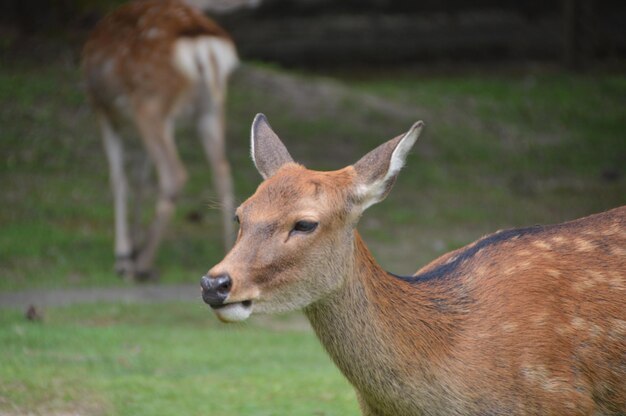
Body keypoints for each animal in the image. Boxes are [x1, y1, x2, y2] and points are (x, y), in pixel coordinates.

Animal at [83, 0, 239, 282]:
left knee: (174, 173)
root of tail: (203, 45)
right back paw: (227, 253)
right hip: (210, 109)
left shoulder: (101, 108)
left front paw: (123, 255)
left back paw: (141, 265)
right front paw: (132, 244)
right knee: (222, 169)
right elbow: (140, 179)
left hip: (150, 103)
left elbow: (119, 180)